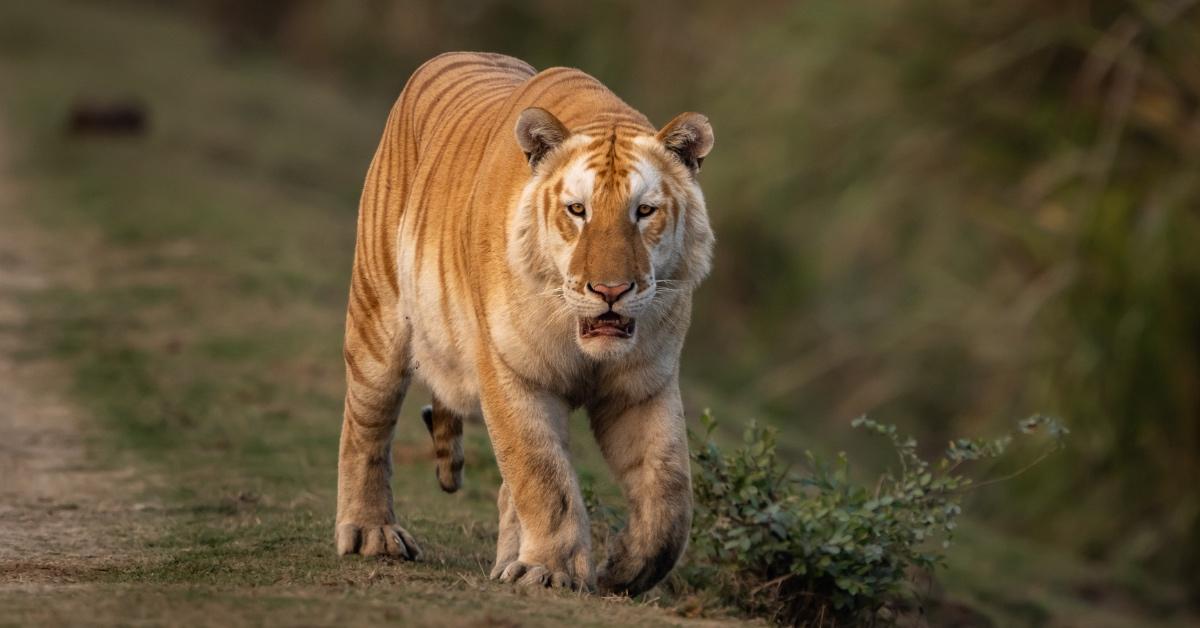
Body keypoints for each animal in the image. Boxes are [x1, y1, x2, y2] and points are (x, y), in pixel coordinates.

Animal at [333, 50, 715, 595]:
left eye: (644, 211)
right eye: (577, 210)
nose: (610, 291)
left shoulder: (645, 385)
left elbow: (669, 492)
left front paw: (623, 569)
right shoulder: (510, 370)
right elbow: (542, 475)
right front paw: (551, 571)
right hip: (377, 318)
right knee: (366, 424)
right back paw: (372, 533)